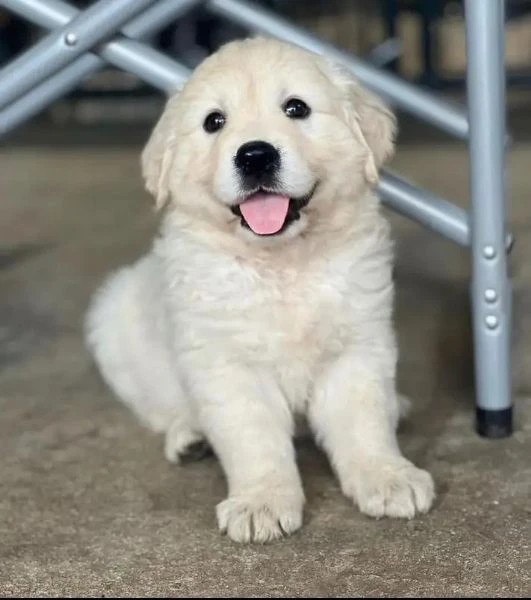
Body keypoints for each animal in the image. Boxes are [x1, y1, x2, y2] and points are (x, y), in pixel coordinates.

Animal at [85, 37, 436, 544]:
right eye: (214, 121)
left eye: (296, 108)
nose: (255, 156)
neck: (282, 264)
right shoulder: (227, 365)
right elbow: (253, 438)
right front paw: (261, 503)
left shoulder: (356, 346)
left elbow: (363, 421)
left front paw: (388, 476)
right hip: (115, 319)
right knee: (159, 407)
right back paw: (189, 436)